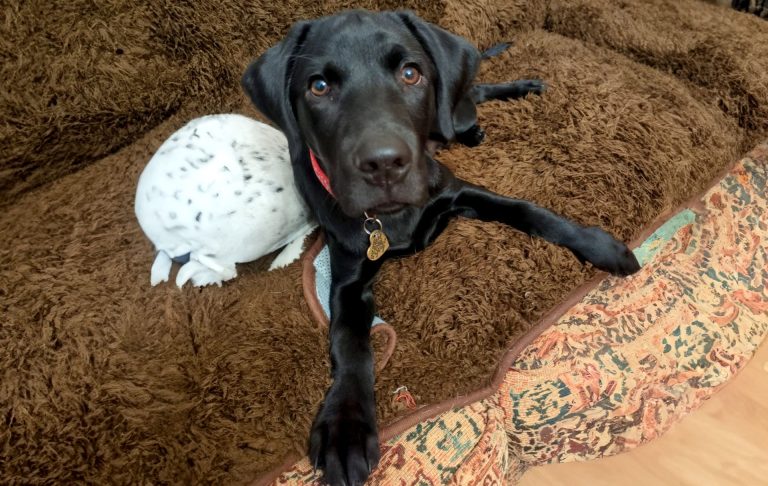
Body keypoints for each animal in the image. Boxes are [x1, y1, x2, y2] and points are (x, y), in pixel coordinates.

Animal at [243, 9, 640, 484]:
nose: (384, 164)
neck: (393, 217)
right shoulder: (348, 277)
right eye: (318, 86)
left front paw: (600, 245)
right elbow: (349, 343)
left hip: (454, 114)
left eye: (411, 73)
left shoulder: (458, 190)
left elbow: (530, 211)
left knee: (469, 98)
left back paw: (516, 92)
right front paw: (346, 428)